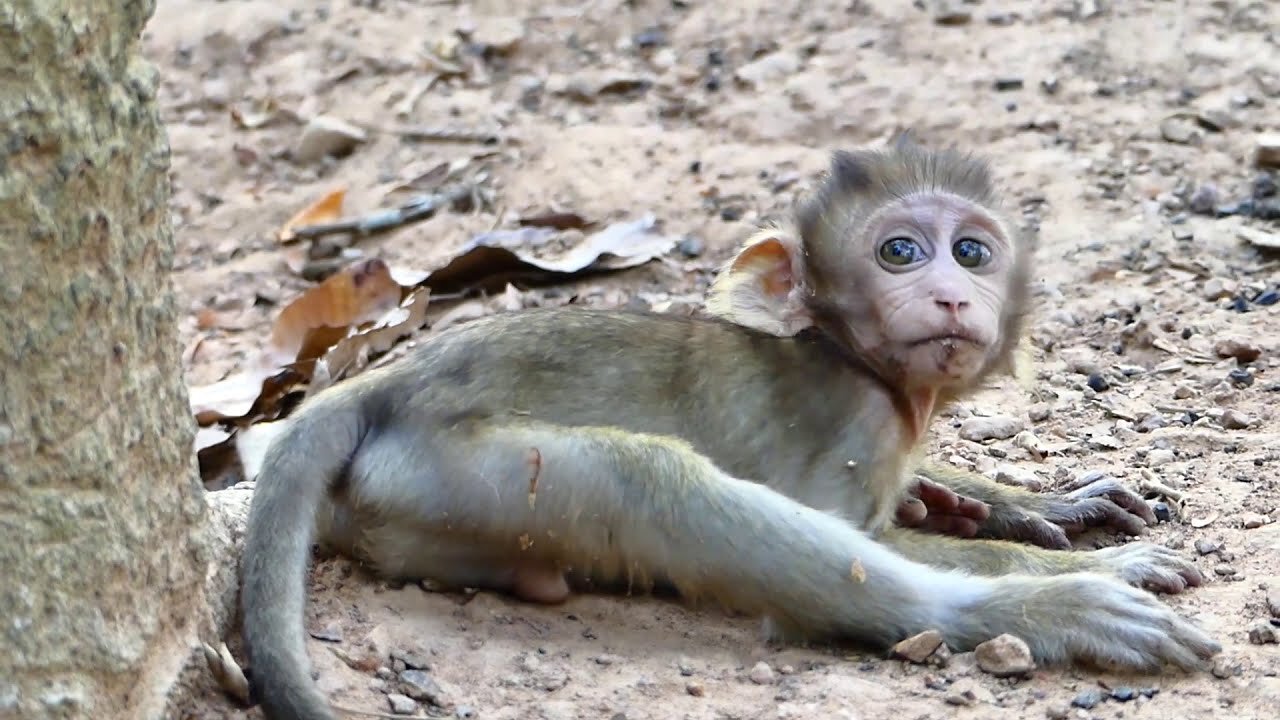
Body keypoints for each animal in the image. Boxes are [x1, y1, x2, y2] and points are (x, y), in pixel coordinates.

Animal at [241, 140, 1218, 717]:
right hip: (451, 470)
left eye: (971, 251)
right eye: (900, 251)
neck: (852, 357)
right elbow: (854, 528)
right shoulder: (852, 422)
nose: (949, 293)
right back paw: (1037, 609)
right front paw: (1052, 561)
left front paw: (1032, 502)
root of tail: (384, 385)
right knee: (652, 483)